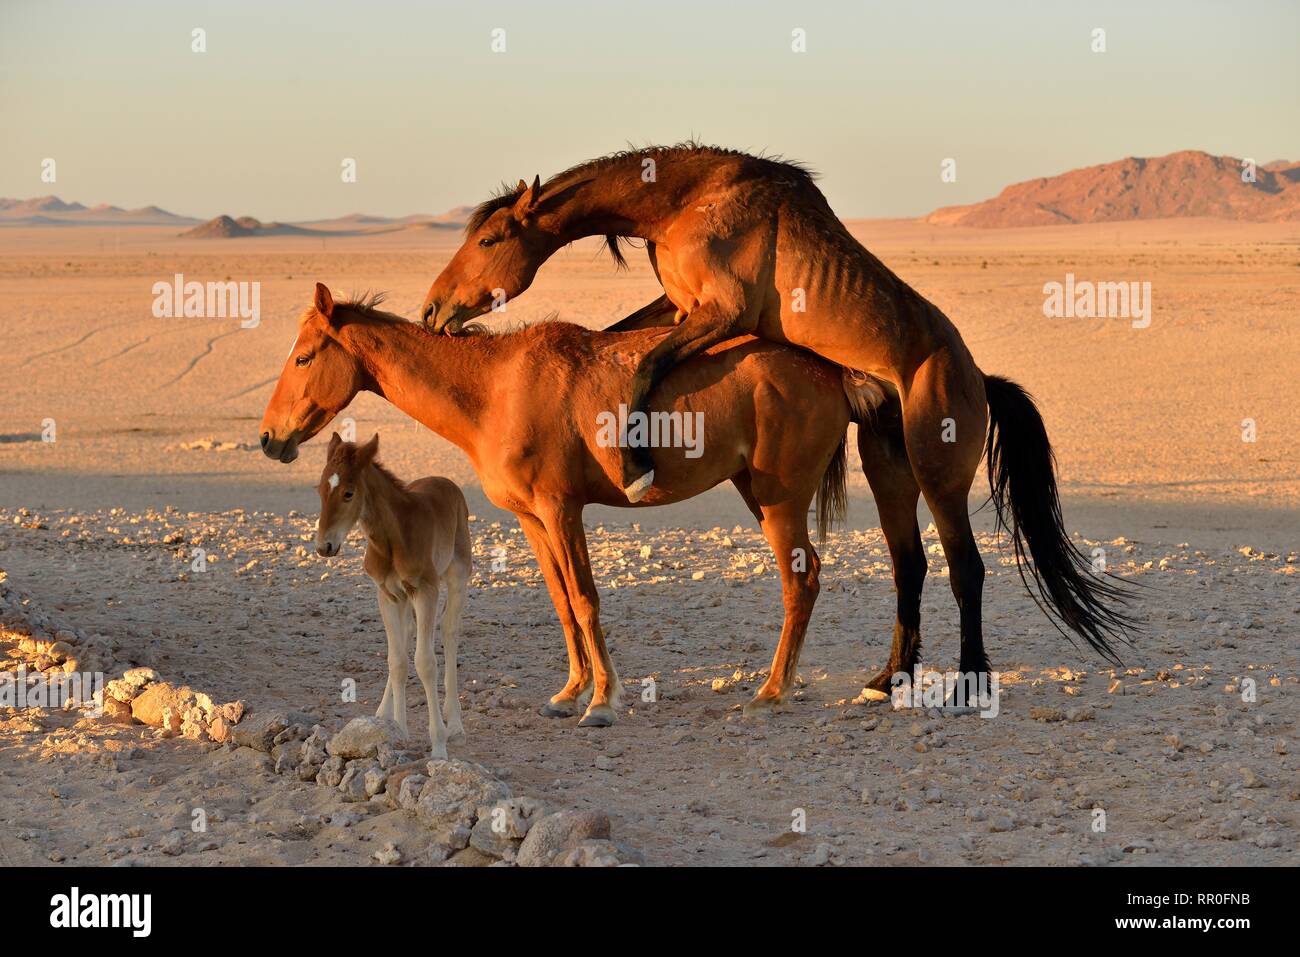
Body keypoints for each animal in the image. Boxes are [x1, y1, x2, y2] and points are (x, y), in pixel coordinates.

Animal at [314, 431, 473, 754]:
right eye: (320, 489)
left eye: (348, 493)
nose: (324, 547)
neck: (392, 538)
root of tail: (447, 482)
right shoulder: (387, 594)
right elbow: (397, 660)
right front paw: (397, 729)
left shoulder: (425, 589)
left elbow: (425, 662)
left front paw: (438, 744)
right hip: (404, 599)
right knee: (410, 634)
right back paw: (382, 713)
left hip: (457, 574)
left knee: (450, 631)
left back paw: (455, 724)